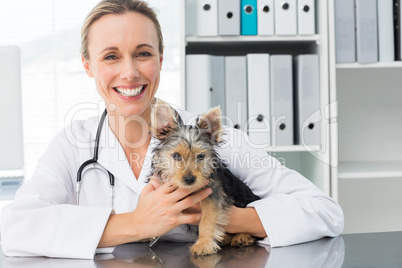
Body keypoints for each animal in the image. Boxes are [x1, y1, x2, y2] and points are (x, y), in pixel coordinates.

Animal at [148, 99, 260, 256]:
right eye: (176, 155)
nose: (189, 179)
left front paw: (203, 244)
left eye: (201, 156)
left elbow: (208, 219)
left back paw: (243, 237)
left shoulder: (213, 194)